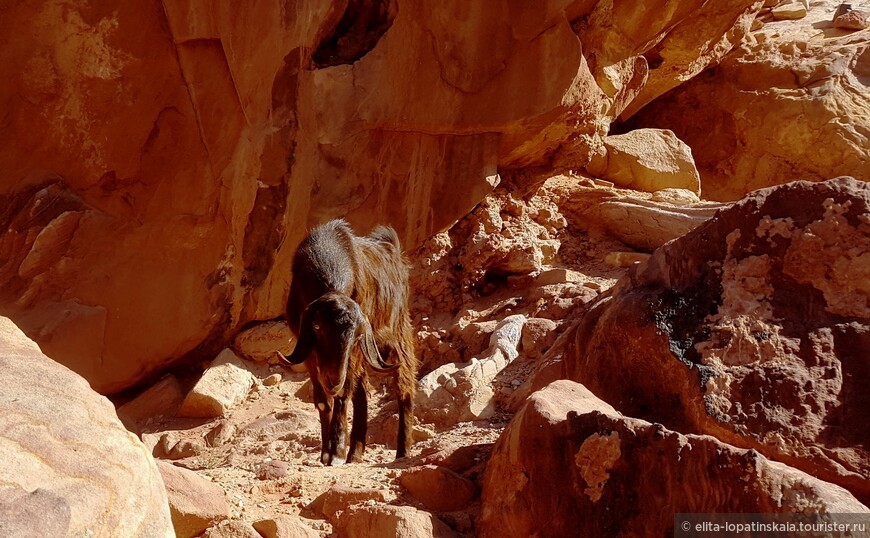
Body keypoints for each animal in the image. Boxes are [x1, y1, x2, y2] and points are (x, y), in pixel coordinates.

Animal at [276, 220, 418, 462]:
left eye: (358, 335)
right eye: (317, 327)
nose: (333, 380)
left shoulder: (355, 352)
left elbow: (344, 392)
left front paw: (336, 452)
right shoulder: (309, 352)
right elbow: (323, 399)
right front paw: (325, 452)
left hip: (399, 334)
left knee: (404, 386)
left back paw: (402, 452)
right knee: (361, 394)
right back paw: (356, 453)